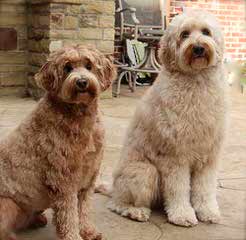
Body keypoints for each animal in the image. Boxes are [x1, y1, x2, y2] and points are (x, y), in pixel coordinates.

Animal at [0, 45, 116, 240]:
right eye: (67, 67)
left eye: (89, 65)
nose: (82, 82)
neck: (79, 115)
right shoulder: (63, 179)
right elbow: (69, 214)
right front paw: (73, 236)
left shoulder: (89, 176)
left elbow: (84, 208)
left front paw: (88, 231)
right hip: (7, 205)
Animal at [108, 9, 226, 227]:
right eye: (185, 34)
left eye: (206, 31)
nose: (198, 48)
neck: (196, 82)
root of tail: (113, 187)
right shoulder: (175, 156)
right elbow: (178, 189)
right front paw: (182, 215)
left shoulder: (209, 156)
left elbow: (204, 188)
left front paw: (207, 211)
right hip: (145, 172)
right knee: (117, 204)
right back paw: (136, 212)